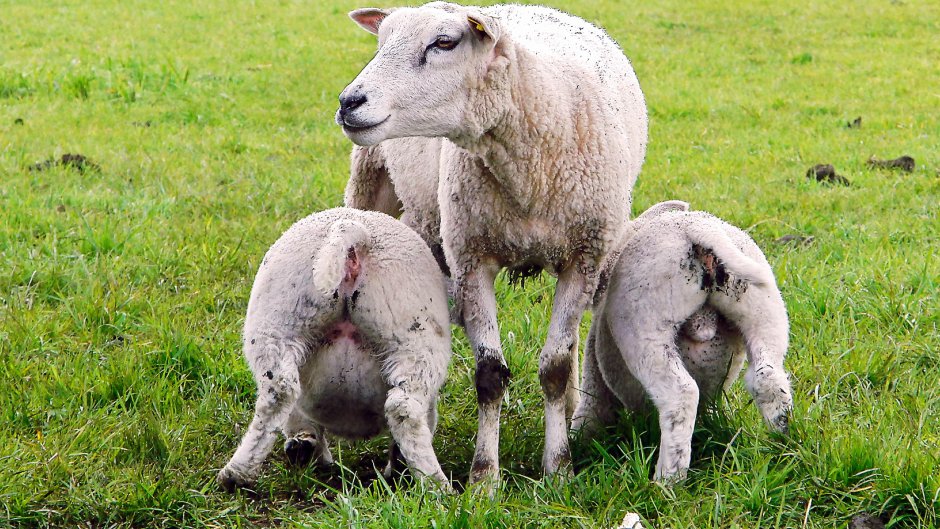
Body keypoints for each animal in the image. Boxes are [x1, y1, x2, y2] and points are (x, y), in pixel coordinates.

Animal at [217, 207, 452, 492]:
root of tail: (354, 235)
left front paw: (306, 450)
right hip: (415, 338)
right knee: (404, 409)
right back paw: (436, 485)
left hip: (278, 321)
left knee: (278, 394)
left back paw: (237, 473)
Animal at [337, 1, 648, 484]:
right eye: (381, 41)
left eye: (444, 42)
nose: (349, 102)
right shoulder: (470, 257)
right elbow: (489, 374)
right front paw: (484, 477)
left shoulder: (584, 257)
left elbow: (555, 367)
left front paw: (558, 469)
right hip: (376, 188)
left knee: (571, 341)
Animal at [571, 202, 794, 482]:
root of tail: (698, 229)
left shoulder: (595, 390)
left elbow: (588, 417)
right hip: (763, 309)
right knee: (768, 379)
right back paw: (783, 444)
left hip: (647, 321)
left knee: (680, 396)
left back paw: (667, 480)